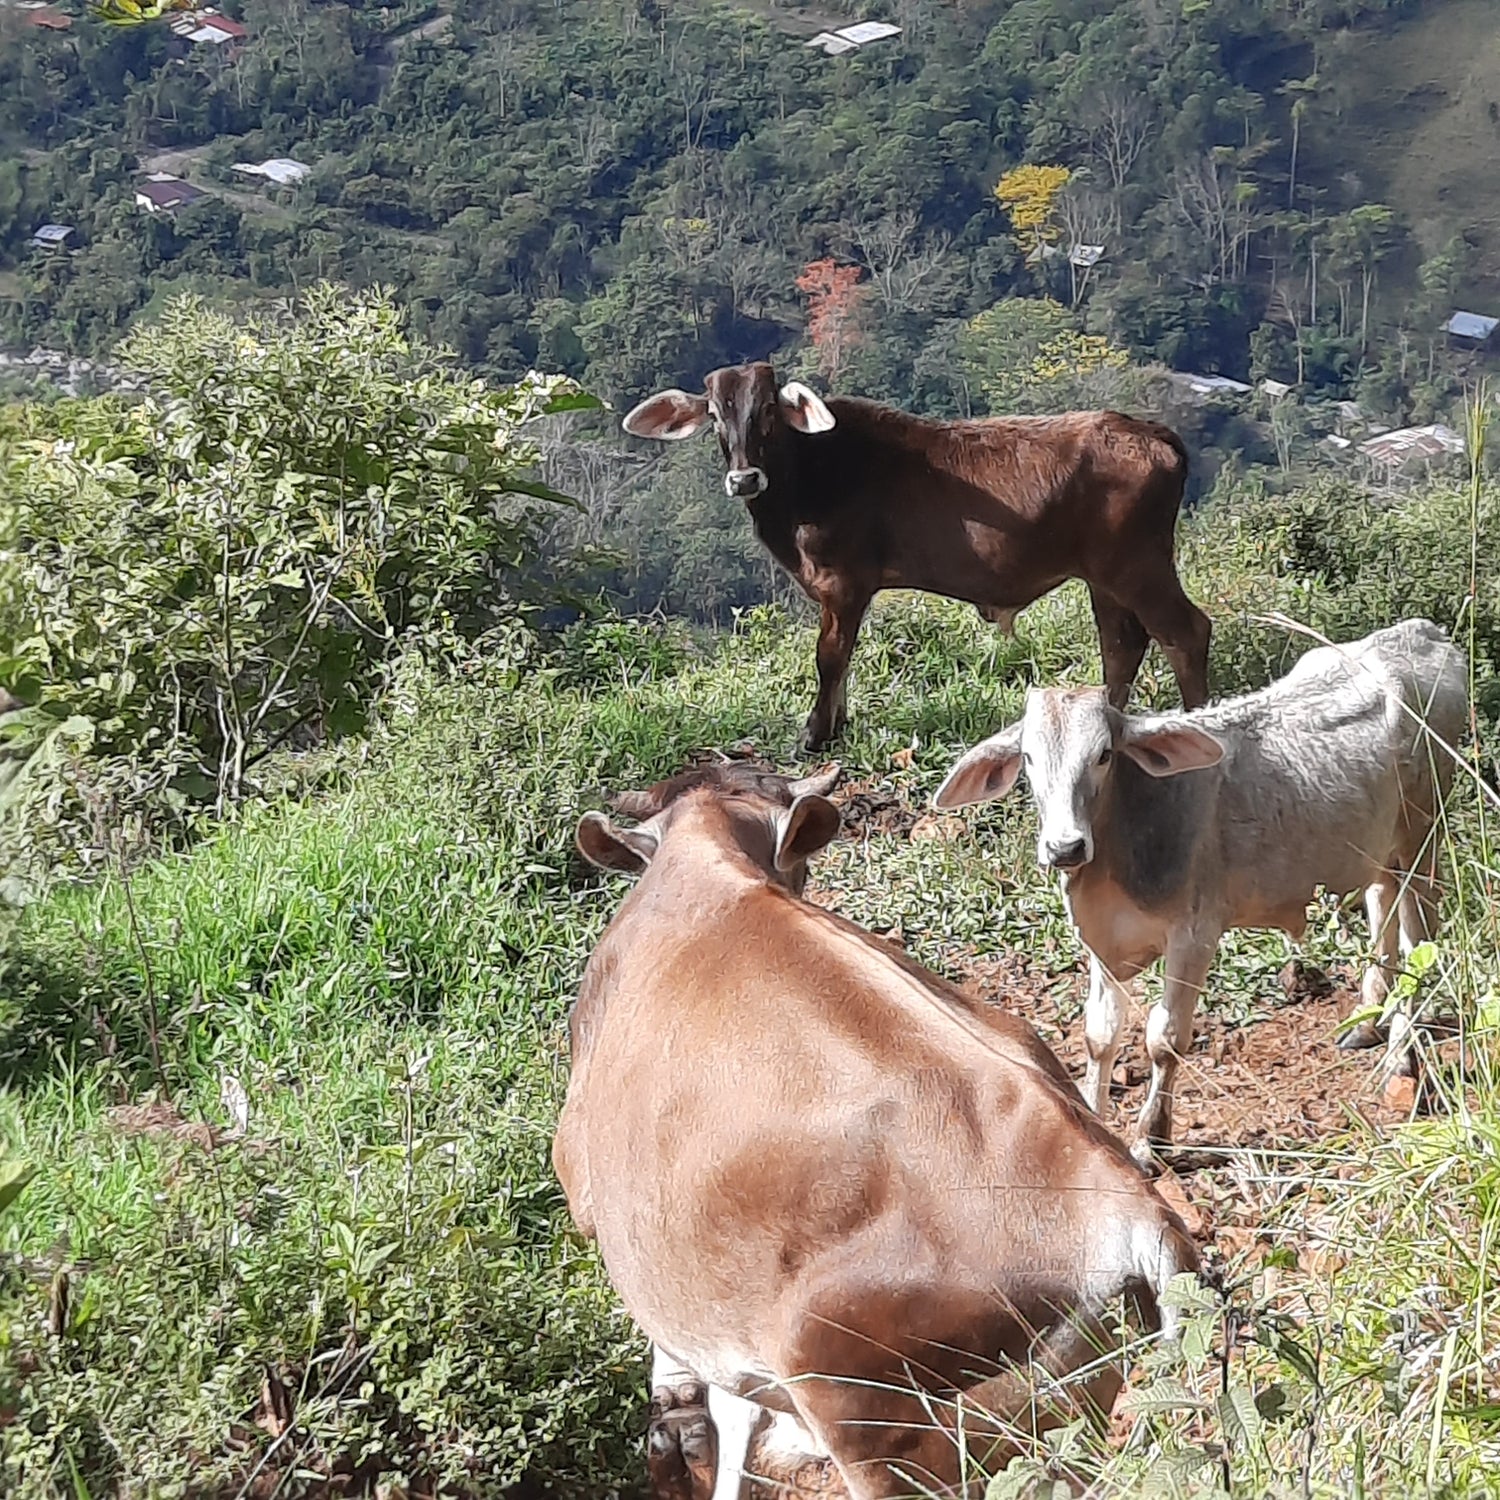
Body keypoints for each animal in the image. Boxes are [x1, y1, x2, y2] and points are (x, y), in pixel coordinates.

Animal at [622, 362, 1211, 749]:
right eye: (714, 414)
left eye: (768, 408)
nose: (744, 478)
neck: (809, 475)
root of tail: (1149, 431)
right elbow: (842, 659)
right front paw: (836, 727)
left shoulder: (843, 583)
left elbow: (830, 657)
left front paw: (816, 736)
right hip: (1104, 574)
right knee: (1121, 644)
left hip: (1135, 563)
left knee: (1184, 631)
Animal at [934, 619, 1468, 1165]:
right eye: (1028, 759)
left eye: (1103, 755)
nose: (1065, 846)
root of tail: (1421, 632)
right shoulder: (1100, 941)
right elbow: (1100, 1034)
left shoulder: (1195, 934)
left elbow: (1164, 1037)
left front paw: (1151, 1139)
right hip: (1380, 853)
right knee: (1383, 912)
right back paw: (1368, 1020)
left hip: (1423, 838)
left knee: (1418, 939)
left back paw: (1401, 1056)